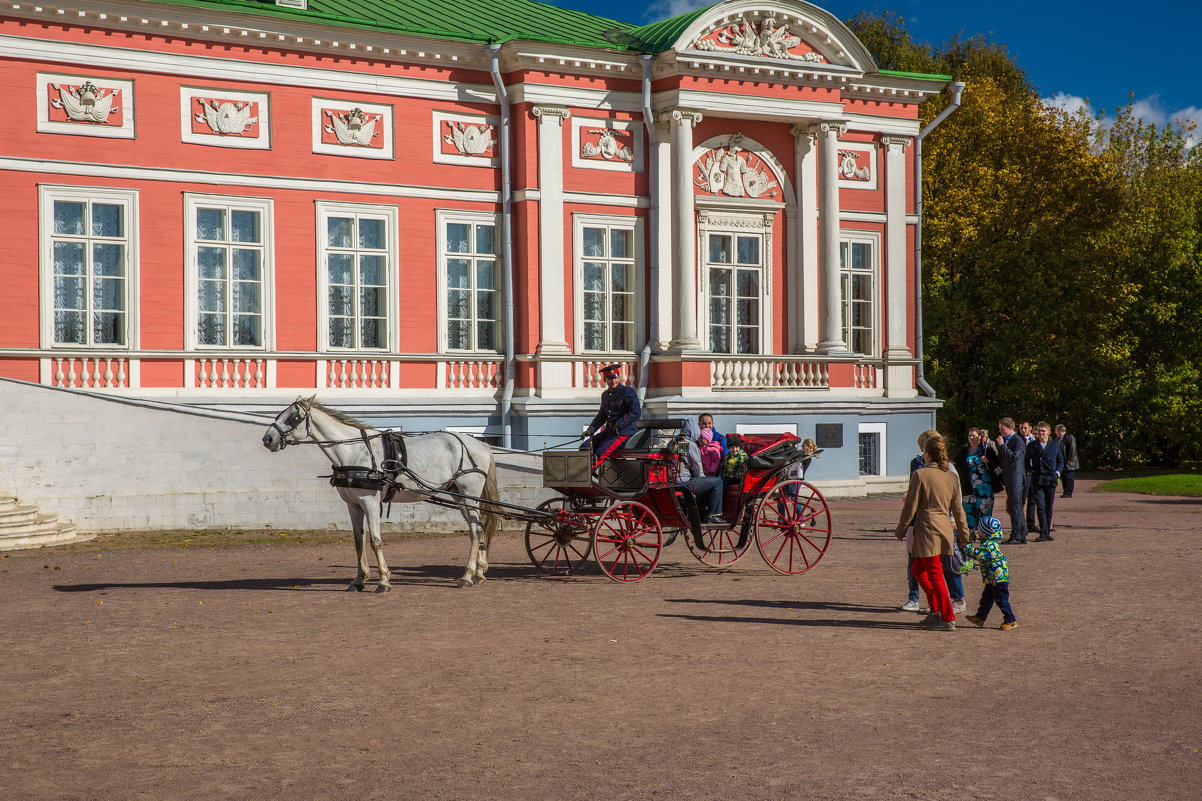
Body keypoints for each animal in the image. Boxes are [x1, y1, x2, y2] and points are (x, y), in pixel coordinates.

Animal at [263, 396, 502, 589]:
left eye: (293, 417)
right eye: (280, 413)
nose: (268, 439)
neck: (354, 451)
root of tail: (481, 444)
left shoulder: (370, 500)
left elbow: (375, 540)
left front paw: (384, 580)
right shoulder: (353, 504)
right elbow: (358, 541)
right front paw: (359, 580)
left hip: (469, 492)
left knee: (475, 531)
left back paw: (467, 576)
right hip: (461, 498)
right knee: (478, 528)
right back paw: (478, 572)